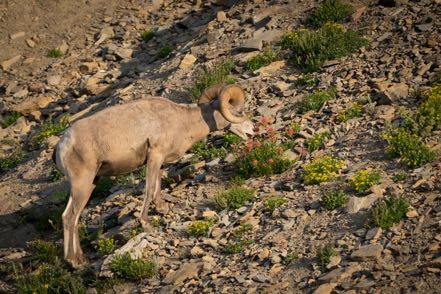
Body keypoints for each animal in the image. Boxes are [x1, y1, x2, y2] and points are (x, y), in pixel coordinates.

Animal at [54, 84, 254, 268]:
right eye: (239, 111)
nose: (253, 130)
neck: (182, 121)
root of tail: (62, 146)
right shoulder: (155, 155)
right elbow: (149, 188)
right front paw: (145, 222)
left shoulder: (160, 160)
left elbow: (157, 184)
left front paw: (161, 208)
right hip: (82, 183)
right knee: (70, 217)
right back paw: (73, 261)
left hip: (90, 183)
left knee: (72, 217)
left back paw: (80, 259)